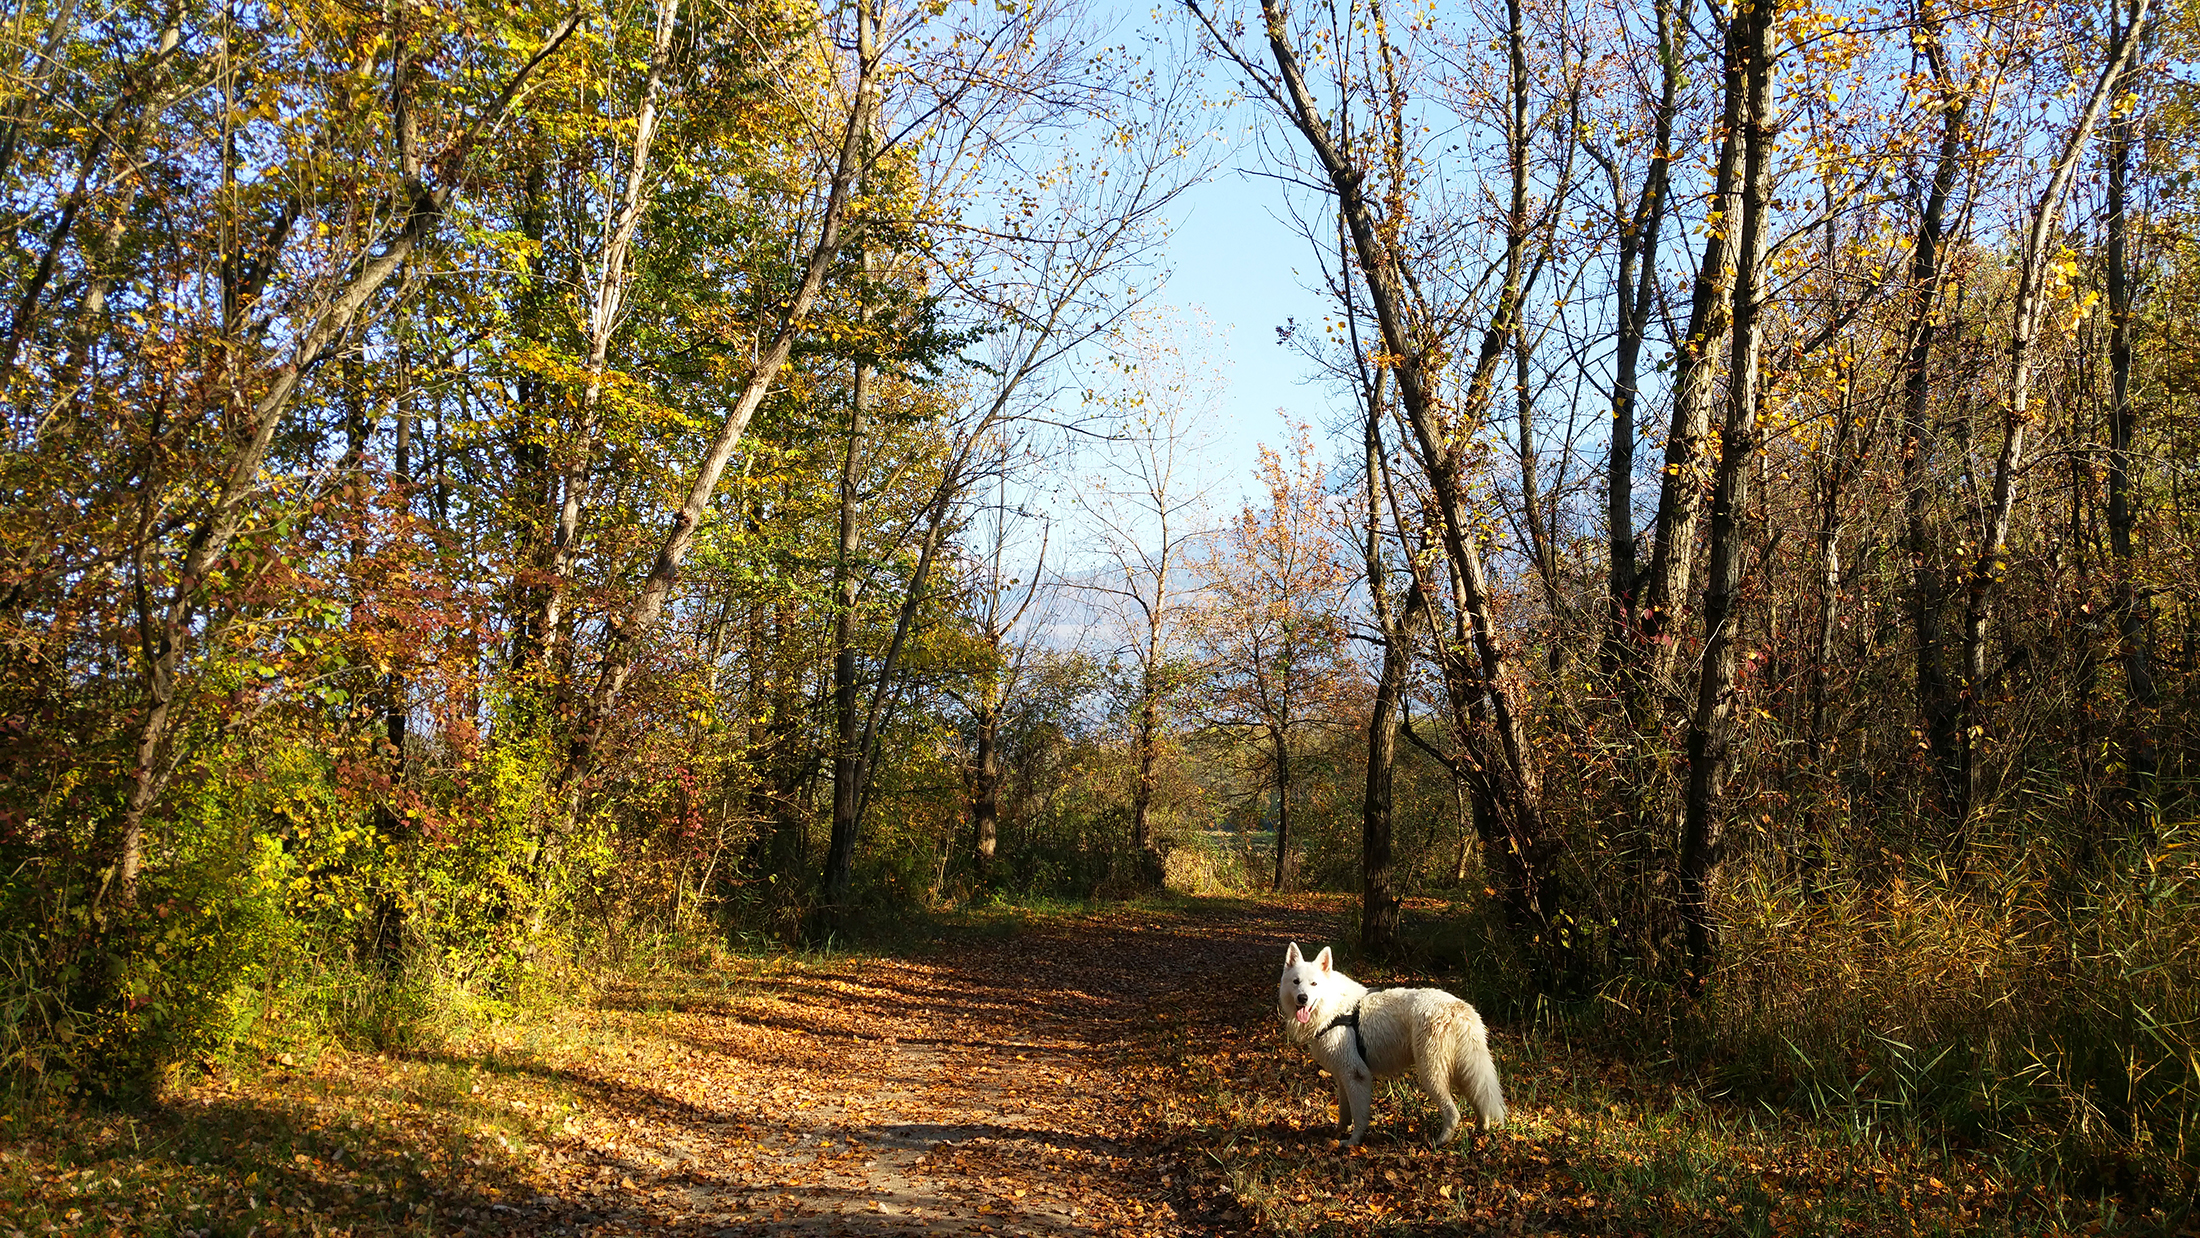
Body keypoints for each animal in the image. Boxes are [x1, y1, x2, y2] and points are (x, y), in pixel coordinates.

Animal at [1276, 941, 1506, 1147]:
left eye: (1314, 984)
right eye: (1296, 982)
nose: (1302, 998)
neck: (1333, 1008)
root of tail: (1459, 1007)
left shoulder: (1356, 1075)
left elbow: (1359, 1116)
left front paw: (1353, 1142)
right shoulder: (1342, 1075)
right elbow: (1344, 1111)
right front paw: (1337, 1132)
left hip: (1431, 1074)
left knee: (1453, 1113)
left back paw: (1440, 1142)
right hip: (1463, 1071)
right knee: (1479, 1101)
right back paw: (1481, 1131)